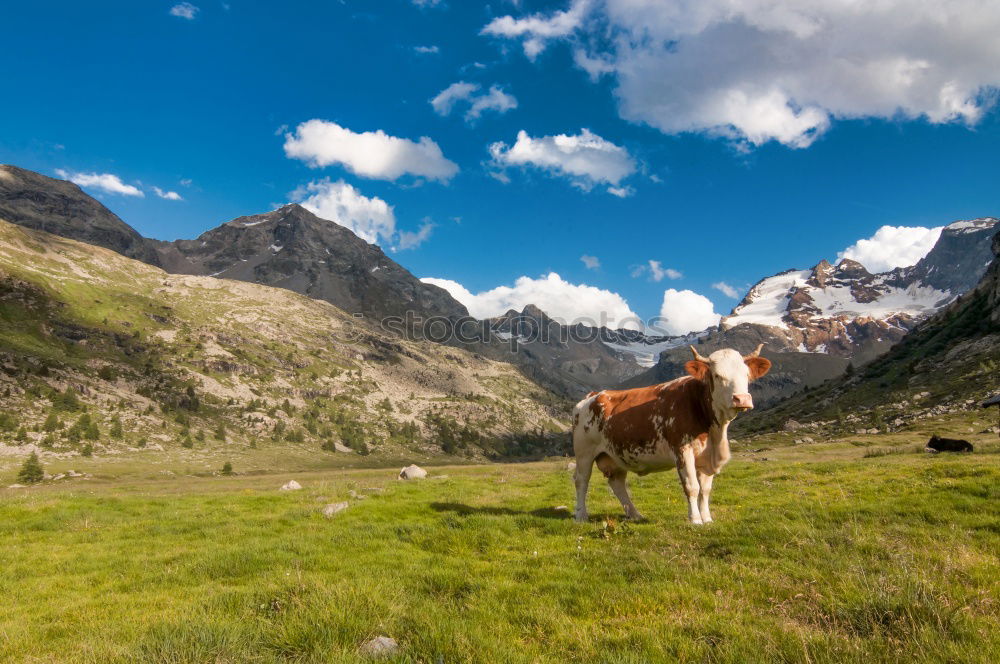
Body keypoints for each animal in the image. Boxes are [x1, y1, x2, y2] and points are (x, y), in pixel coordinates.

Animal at [572, 342, 772, 524]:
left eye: (746, 374)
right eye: (717, 375)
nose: (742, 399)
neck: (714, 431)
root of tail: (593, 395)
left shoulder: (707, 457)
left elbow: (705, 489)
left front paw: (707, 518)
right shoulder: (682, 449)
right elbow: (692, 486)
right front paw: (695, 520)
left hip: (615, 454)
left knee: (617, 484)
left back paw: (635, 515)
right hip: (584, 453)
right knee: (581, 480)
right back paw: (581, 516)